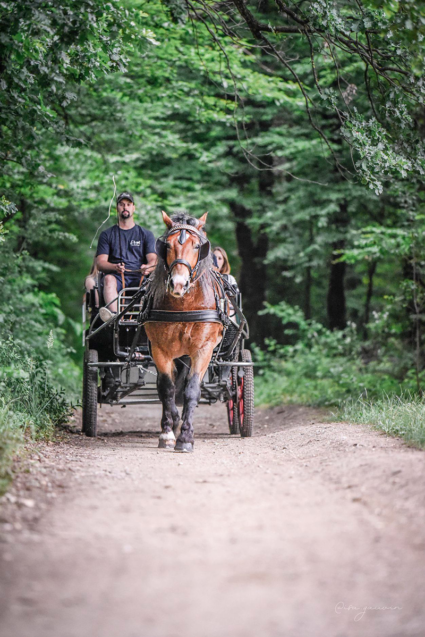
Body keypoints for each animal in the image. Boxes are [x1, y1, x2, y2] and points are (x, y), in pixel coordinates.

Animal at [144, 211, 224, 450]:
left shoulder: (203, 349)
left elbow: (191, 390)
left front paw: (186, 437)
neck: (183, 306)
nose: (178, 284)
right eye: (167, 245)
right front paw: (168, 432)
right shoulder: (159, 349)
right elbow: (166, 388)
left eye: (197, 246)